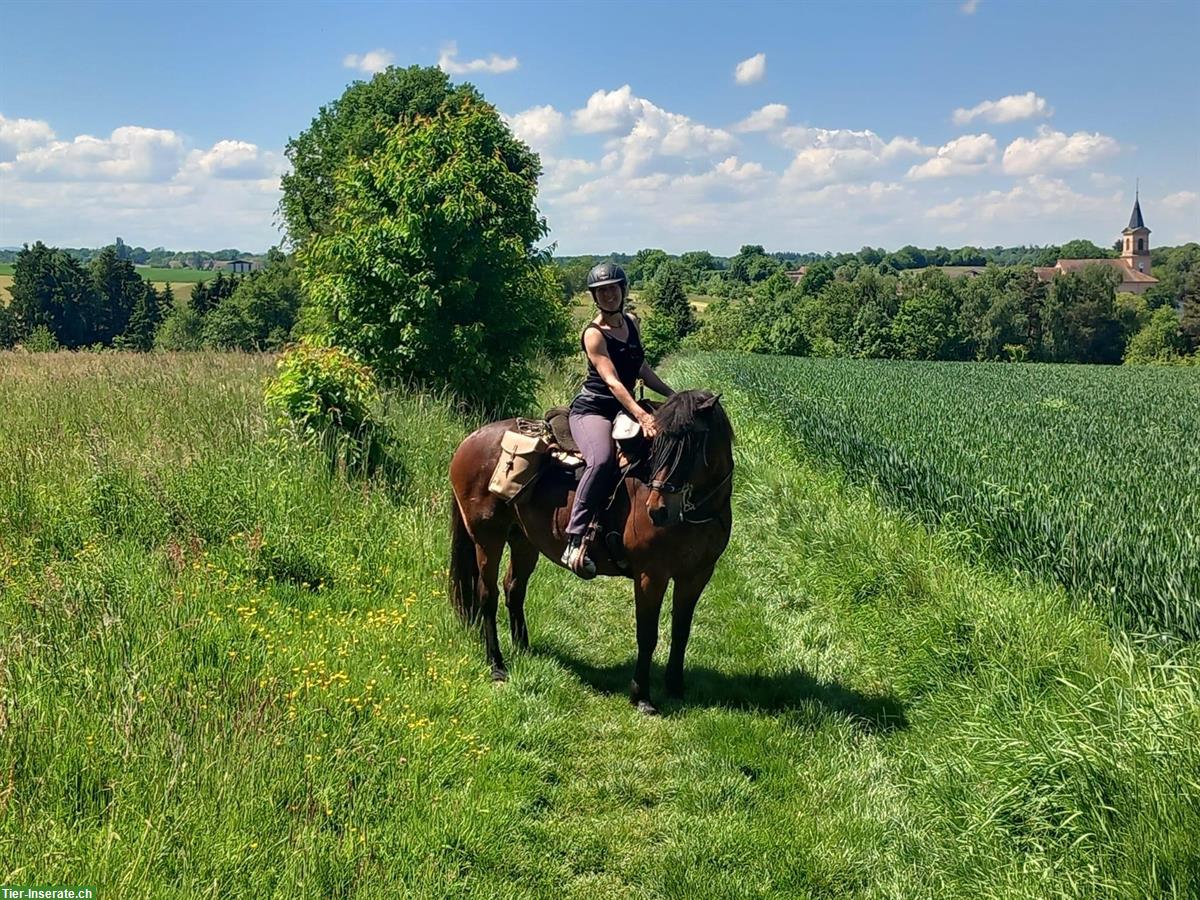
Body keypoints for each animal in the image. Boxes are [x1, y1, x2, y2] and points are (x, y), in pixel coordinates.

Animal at [448, 389, 735, 714]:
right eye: (658, 443)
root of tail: (470, 440)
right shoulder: (651, 575)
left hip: (523, 540)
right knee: (488, 594)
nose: (658, 510)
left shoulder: (696, 575)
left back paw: (524, 650)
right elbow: (647, 634)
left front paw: (675, 687)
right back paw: (497, 665)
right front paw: (642, 696)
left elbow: (681, 631)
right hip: (488, 539)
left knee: (514, 589)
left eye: (692, 443)